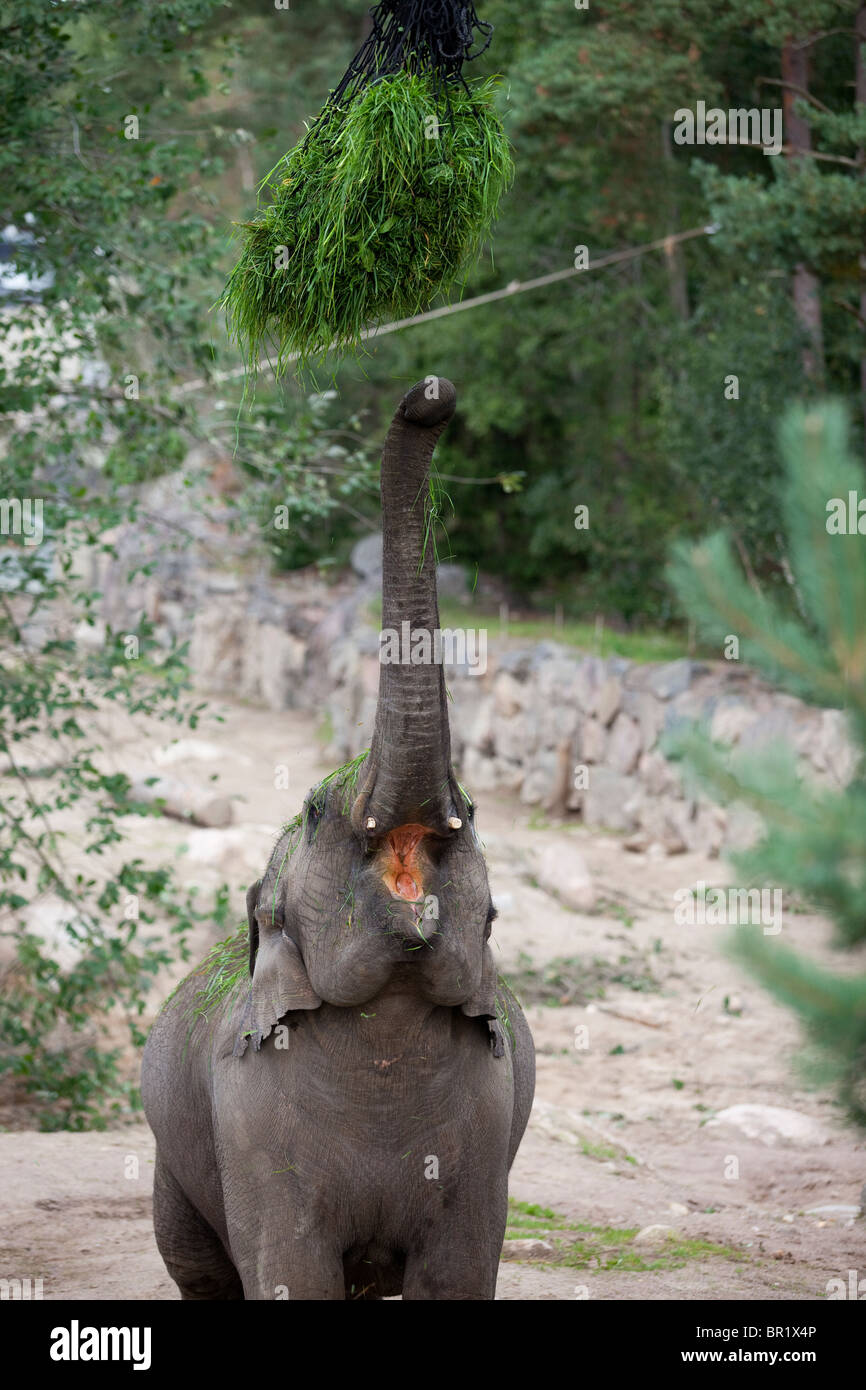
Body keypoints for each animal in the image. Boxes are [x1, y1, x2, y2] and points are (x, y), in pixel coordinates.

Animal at [142, 375, 536, 1295]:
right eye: (319, 809)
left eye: (472, 813)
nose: (432, 395)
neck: (385, 1031)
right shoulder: (247, 1118)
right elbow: (289, 1271)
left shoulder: (489, 1124)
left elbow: (459, 1273)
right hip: (173, 1162)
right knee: (201, 1272)